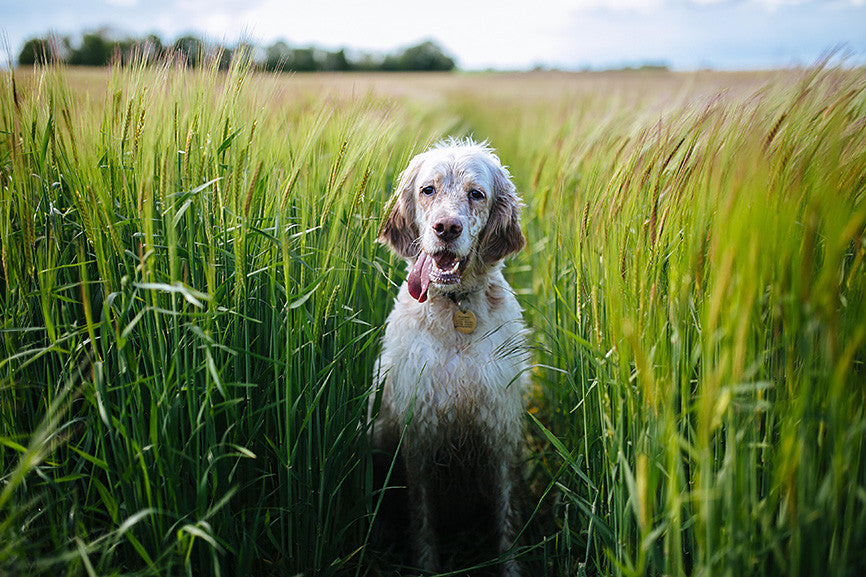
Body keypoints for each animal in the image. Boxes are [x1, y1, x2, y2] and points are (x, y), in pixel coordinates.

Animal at [370, 137, 528, 572]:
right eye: (428, 190)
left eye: (476, 194)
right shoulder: (419, 437)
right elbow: (423, 523)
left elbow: (507, 521)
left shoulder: (500, 433)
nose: (446, 228)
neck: (456, 307)